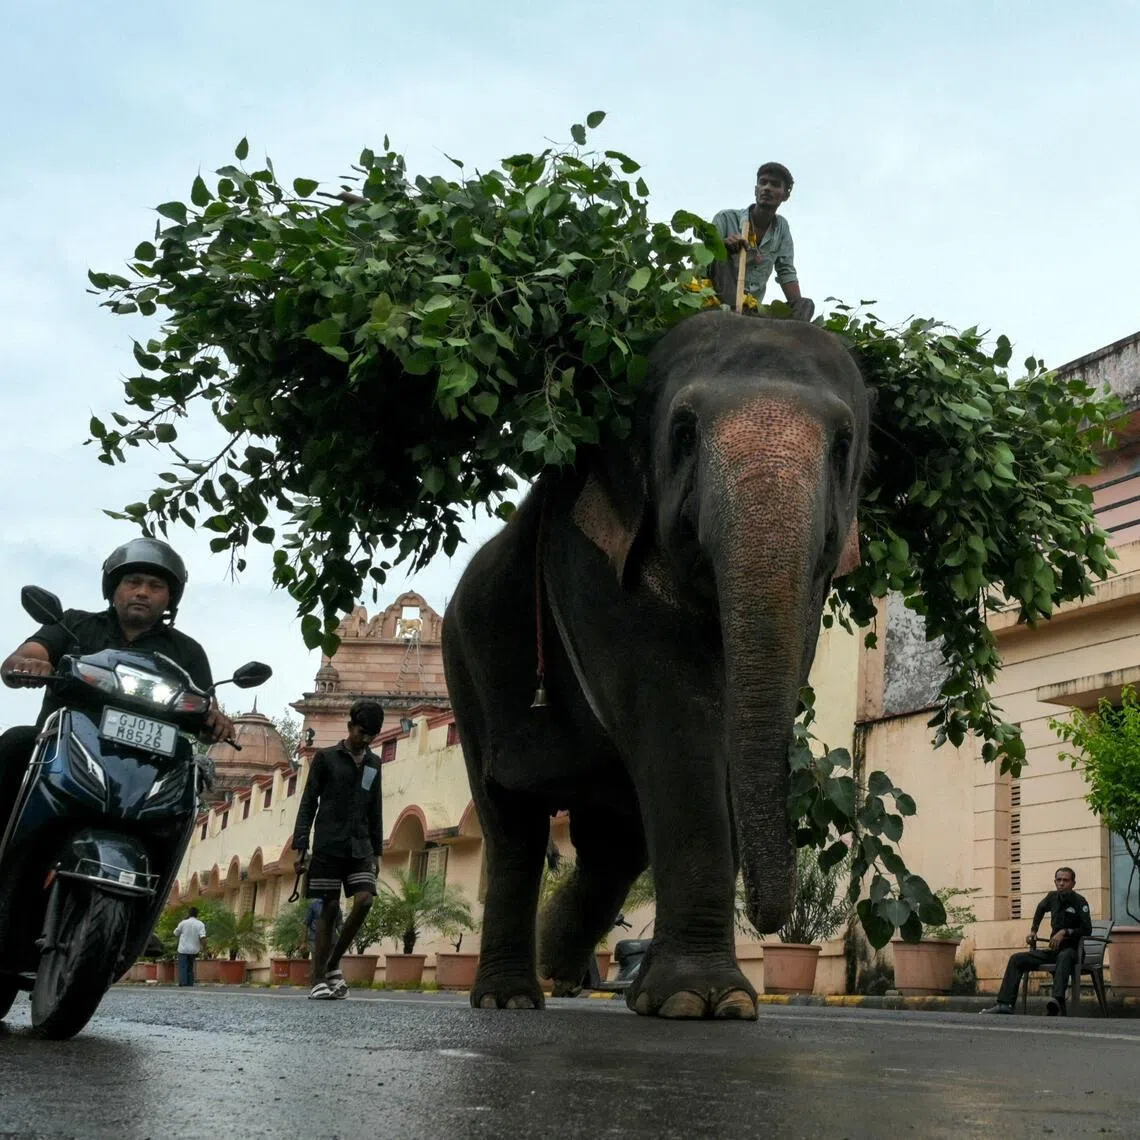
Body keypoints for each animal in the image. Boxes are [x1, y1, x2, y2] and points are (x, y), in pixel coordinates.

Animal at [442, 309, 869, 1019]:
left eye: (843, 445)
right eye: (684, 433)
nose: (775, 923)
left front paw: (709, 1002)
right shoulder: (592, 573)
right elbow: (678, 727)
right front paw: (699, 1001)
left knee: (612, 843)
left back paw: (564, 966)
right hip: (463, 675)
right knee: (513, 829)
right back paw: (512, 998)